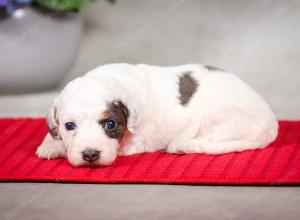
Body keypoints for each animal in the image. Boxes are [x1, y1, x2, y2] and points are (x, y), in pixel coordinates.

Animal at [35, 63, 278, 167]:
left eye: (110, 124)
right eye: (70, 126)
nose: (90, 154)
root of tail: (272, 121)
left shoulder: (134, 142)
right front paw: (50, 144)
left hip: (218, 119)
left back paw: (181, 145)